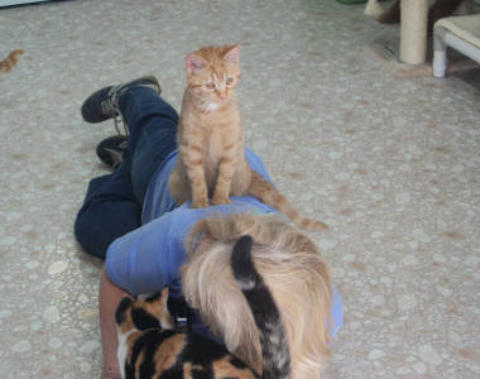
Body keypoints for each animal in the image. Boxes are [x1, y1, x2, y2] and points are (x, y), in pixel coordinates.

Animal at [167, 43, 328, 230]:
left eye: (229, 81)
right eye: (210, 85)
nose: (223, 94)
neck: (213, 115)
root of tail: (250, 173)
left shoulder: (231, 145)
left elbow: (224, 177)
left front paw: (220, 201)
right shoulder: (191, 147)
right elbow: (198, 179)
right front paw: (200, 203)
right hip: (175, 180)